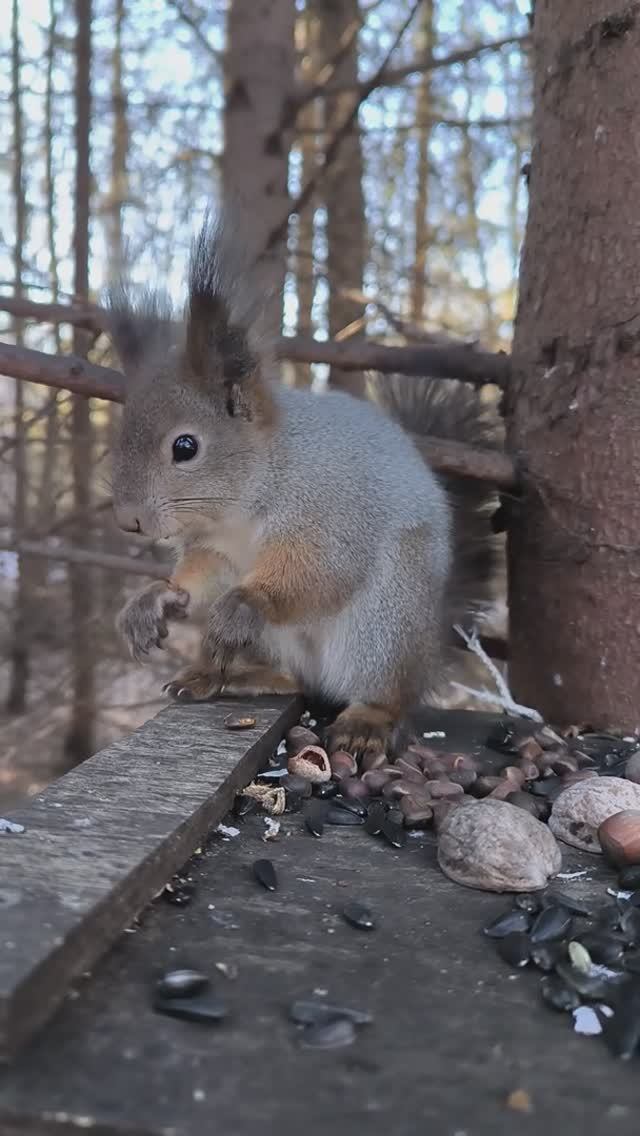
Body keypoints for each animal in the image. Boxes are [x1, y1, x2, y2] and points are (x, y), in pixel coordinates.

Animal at [107, 213, 500, 763]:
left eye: (185, 446)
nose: (128, 521)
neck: (240, 509)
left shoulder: (331, 512)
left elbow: (319, 571)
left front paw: (246, 602)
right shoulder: (216, 548)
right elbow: (203, 574)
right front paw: (156, 599)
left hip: (383, 628)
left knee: (385, 696)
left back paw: (365, 721)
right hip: (284, 642)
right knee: (297, 681)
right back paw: (229, 677)